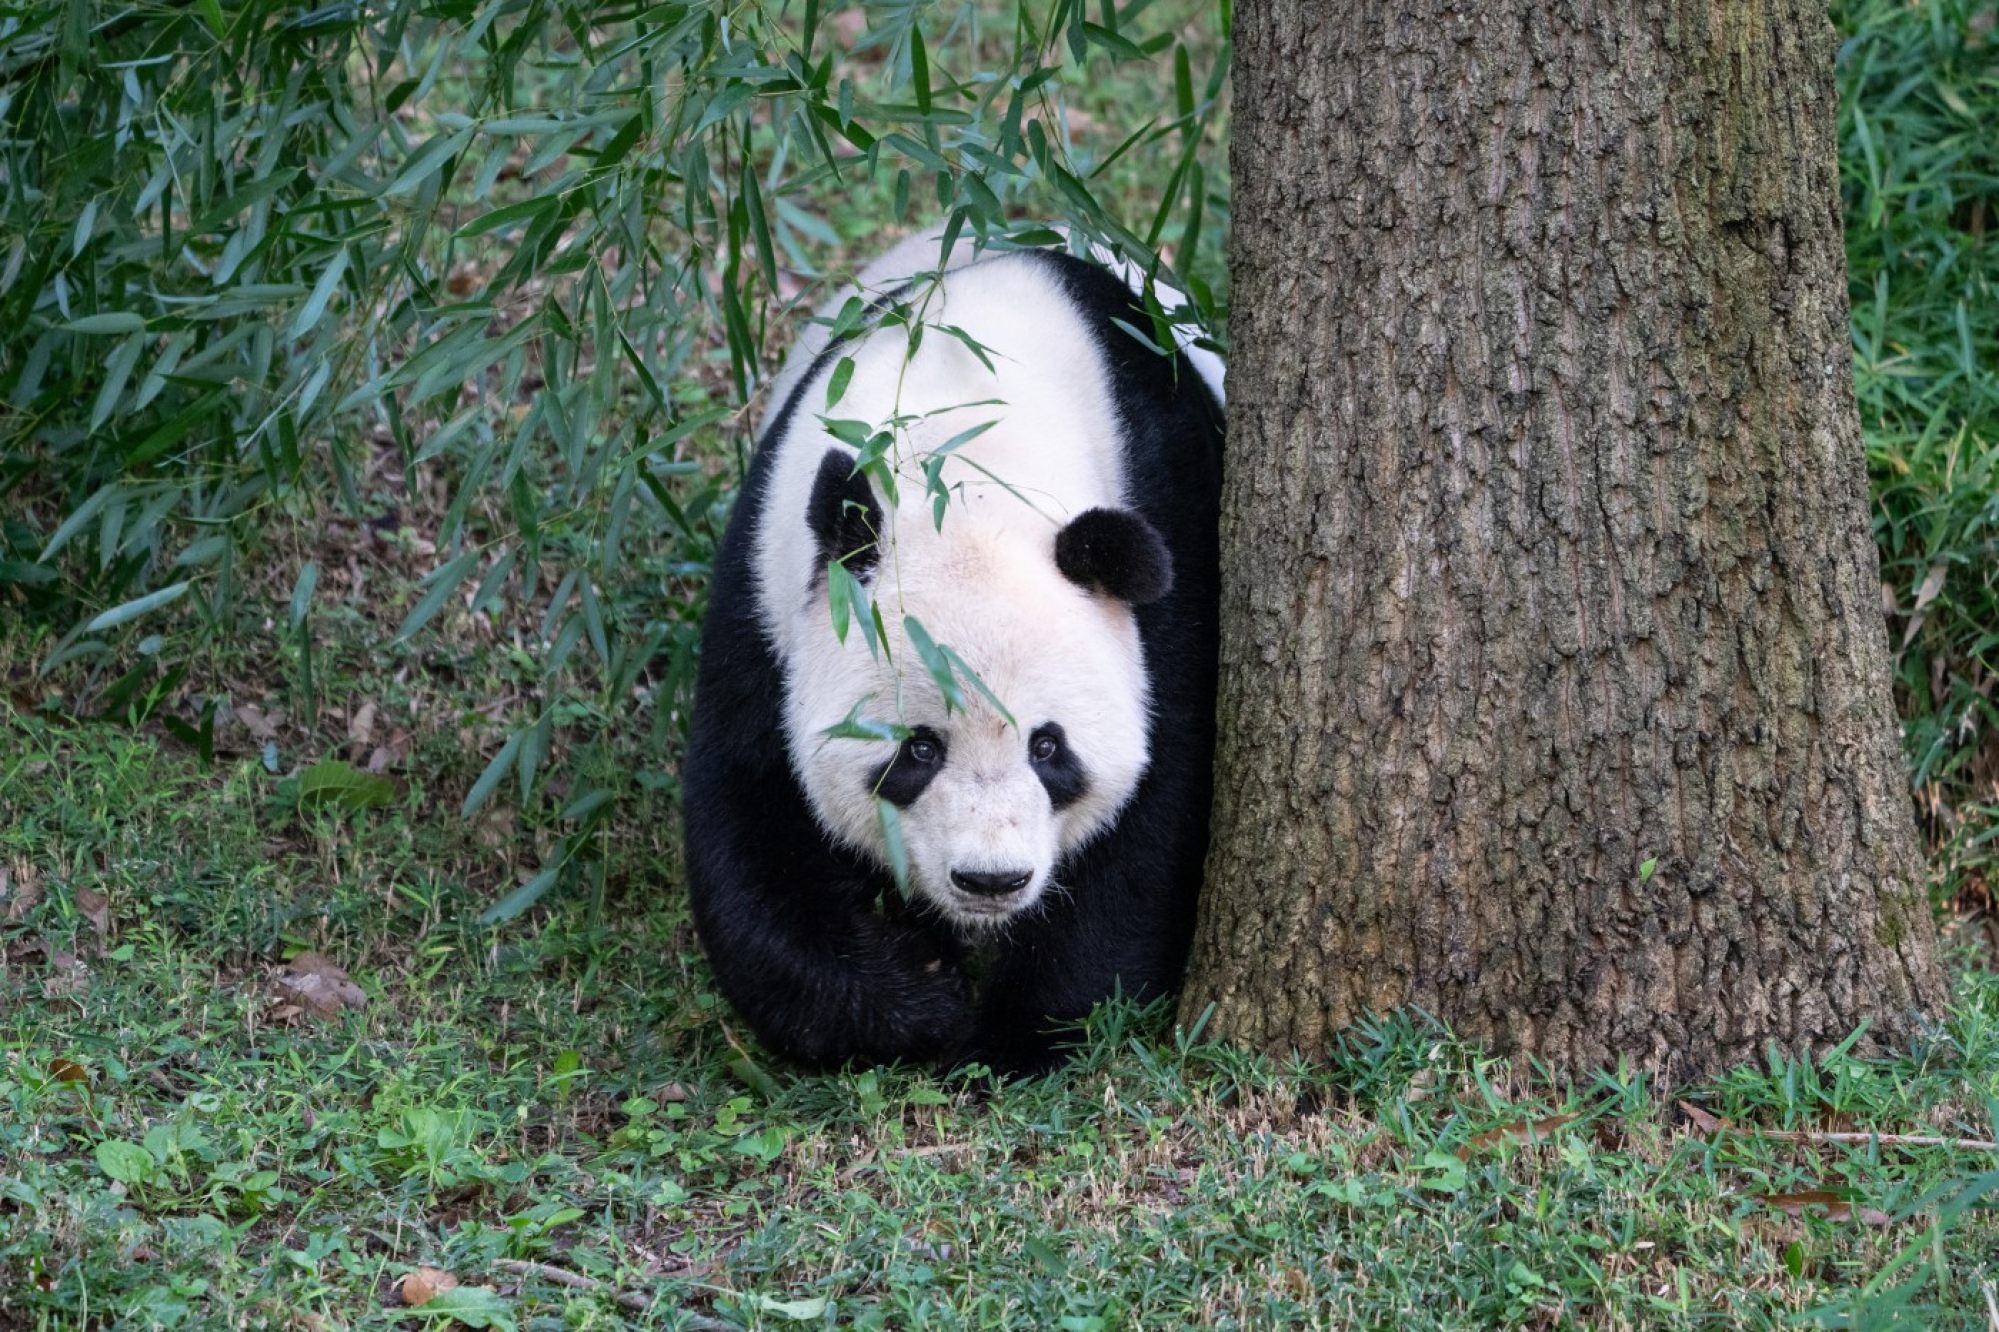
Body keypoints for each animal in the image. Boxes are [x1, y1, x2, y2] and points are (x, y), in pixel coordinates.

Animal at [679, 231, 1223, 1080]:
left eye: (1047, 747)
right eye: (919, 749)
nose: (989, 880)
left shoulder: (1172, 527)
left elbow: (1159, 802)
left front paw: (1019, 1030)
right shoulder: (769, 583)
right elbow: (752, 806)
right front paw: (917, 1006)